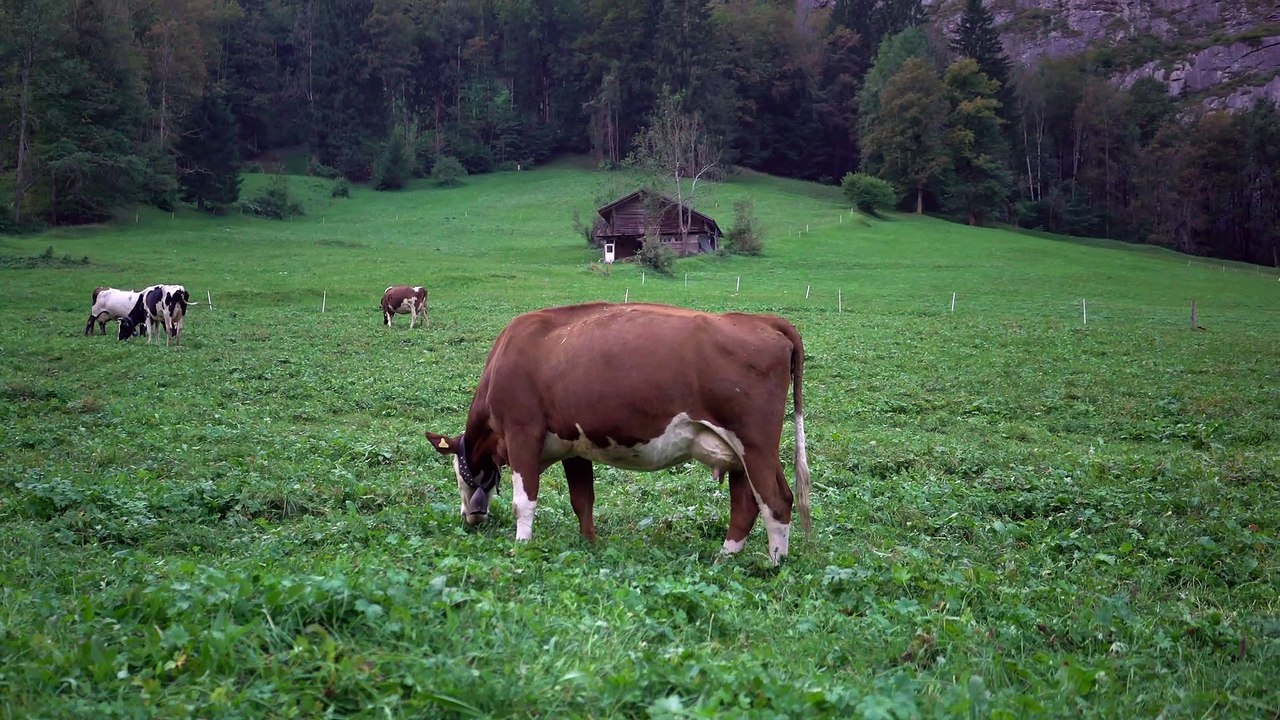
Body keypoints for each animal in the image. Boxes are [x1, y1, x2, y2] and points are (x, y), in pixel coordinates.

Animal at [424, 302, 811, 563]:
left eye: (458, 475)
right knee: (747, 502)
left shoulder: (522, 433)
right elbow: (582, 499)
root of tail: (763, 320)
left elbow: (524, 502)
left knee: (776, 500)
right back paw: (725, 557)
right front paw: (589, 543)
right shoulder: (574, 446)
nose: (469, 518)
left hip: (755, 444)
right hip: (741, 451)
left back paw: (775, 564)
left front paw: (521, 546)